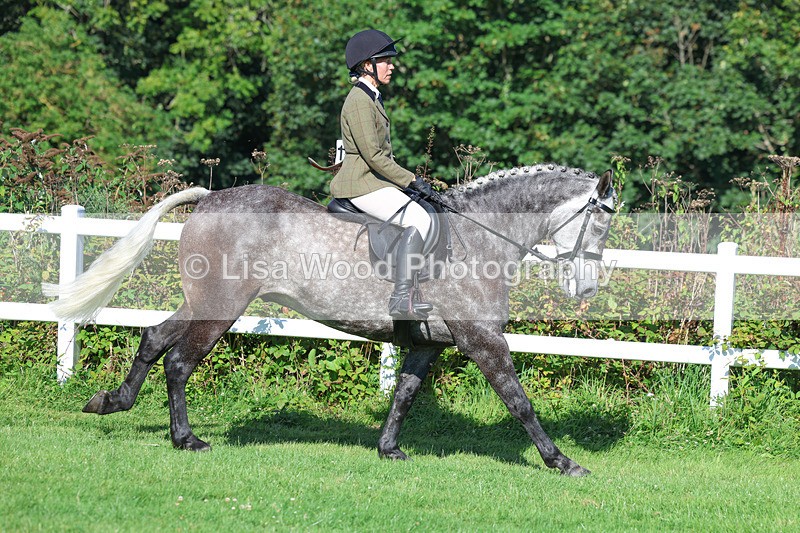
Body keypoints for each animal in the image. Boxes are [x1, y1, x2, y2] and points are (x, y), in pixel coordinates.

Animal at [49, 164, 615, 477]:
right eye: (601, 222)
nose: (586, 289)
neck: (479, 238)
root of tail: (210, 199)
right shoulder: (481, 339)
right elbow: (519, 402)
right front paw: (563, 462)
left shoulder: (429, 343)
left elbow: (405, 394)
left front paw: (388, 450)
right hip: (221, 308)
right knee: (180, 362)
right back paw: (186, 439)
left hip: (203, 301)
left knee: (154, 339)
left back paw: (111, 402)